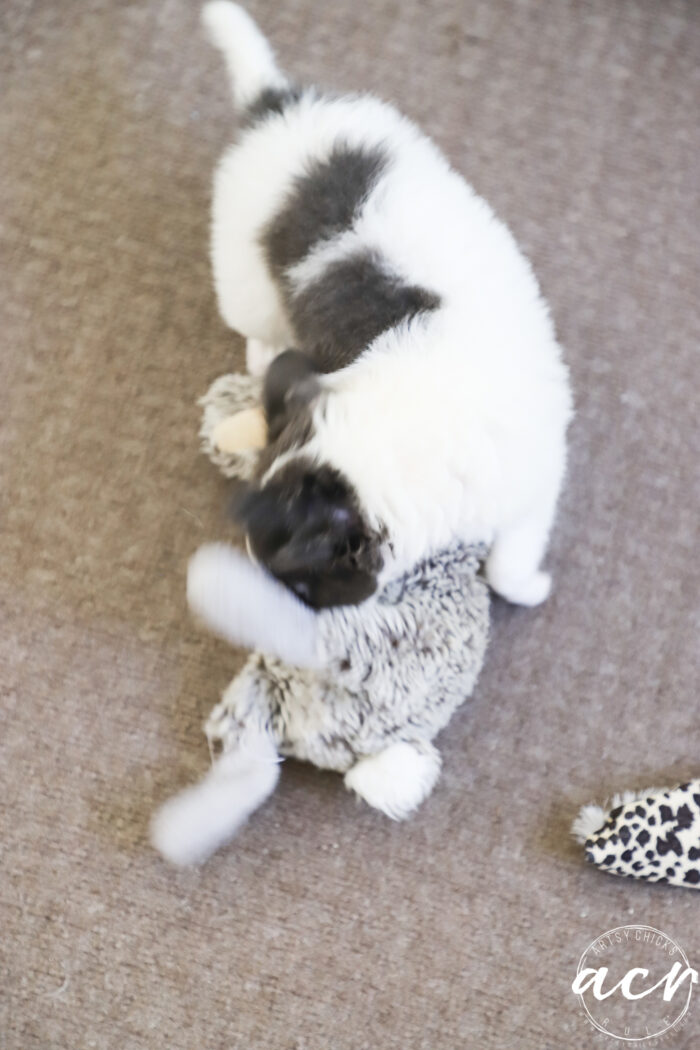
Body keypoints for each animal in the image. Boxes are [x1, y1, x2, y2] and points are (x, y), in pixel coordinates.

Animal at [202, 2, 575, 609]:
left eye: (303, 586)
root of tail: (277, 104)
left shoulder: (537, 479)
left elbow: (508, 561)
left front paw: (529, 587)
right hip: (243, 277)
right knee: (255, 322)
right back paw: (264, 355)